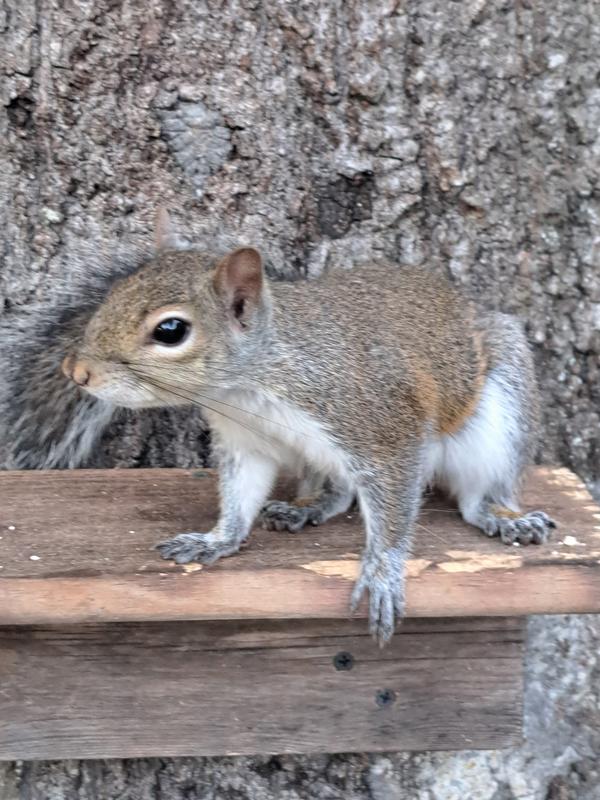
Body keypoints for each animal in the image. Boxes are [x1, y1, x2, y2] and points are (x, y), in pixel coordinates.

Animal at [3, 214, 555, 643]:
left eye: (171, 330)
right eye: (115, 293)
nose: (76, 370)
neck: (252, 385)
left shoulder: (382, 429)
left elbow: (394, 509)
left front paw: (382, 574)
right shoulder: (246, 442)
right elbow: (240, 493)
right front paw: (217, 539)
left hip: (499, 414)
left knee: (477, 493)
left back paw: (503, 515)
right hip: (318, 459)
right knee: (339, 490)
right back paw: (307, 506)